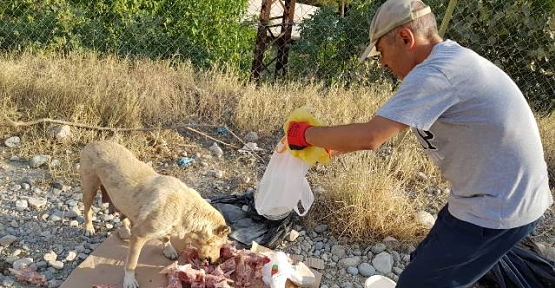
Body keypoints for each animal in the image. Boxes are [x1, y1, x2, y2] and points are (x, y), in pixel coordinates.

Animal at [78, 140, 230, 288]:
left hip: (120, 197)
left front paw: (168, 248)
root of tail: (94, 142)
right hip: (90, 188)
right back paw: (89, 228)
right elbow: (132, 263)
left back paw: (126, 230)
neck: (187, 209)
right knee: (87, 209)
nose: (216, 262)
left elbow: (166, 237)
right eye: (221, 244)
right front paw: (129, 280)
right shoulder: (139, 236)